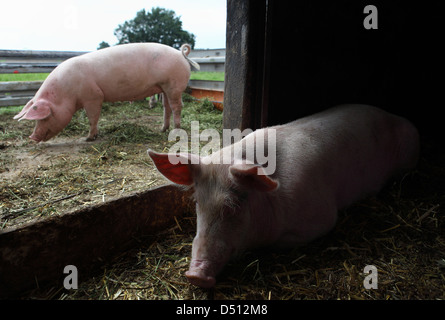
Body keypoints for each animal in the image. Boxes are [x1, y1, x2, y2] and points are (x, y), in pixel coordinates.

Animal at [13, 42, 199, 141]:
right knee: (167, 107)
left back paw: (176, 130)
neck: (66, 93)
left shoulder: (93, 96)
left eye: (45, 117)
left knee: (177, 107)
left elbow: (93, 117)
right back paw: (162, 130)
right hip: (164, 86)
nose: (32, 137)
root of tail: (182, 55)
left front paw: (88, 138)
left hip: (174, 85)